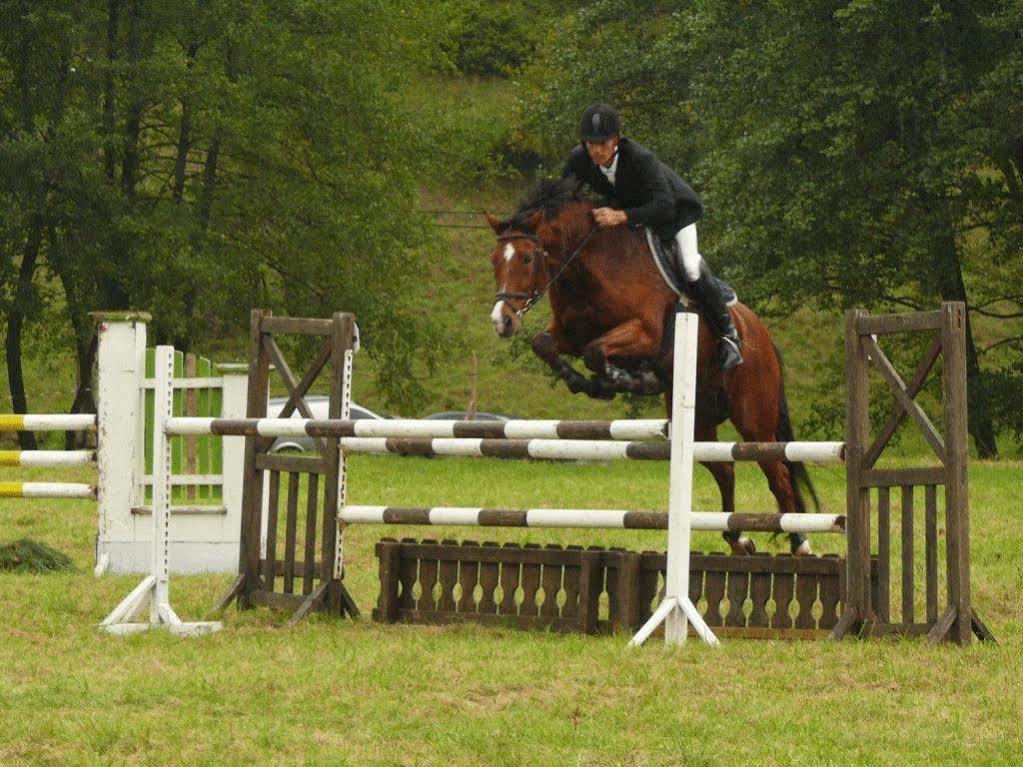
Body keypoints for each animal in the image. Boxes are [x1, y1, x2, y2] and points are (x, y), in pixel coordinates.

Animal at [482, 176, 818, 556]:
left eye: (526, 258)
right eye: (494, 260)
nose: (502, 321)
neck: (589, 265)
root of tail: (762, 335)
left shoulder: (646, 333)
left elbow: (596, 352)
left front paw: (626, 381)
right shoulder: (571, 333)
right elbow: (546, 345)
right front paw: (582, 382)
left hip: (754, 419)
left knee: (777, 474)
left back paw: (801, 543)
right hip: (700, 419)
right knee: (724, 468)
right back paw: (739, 539)